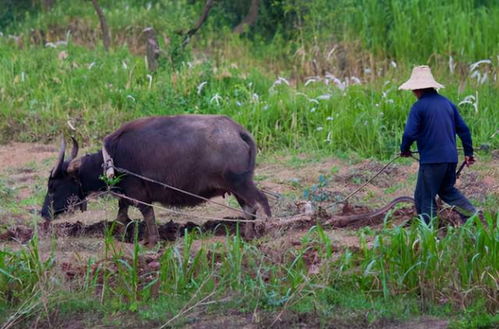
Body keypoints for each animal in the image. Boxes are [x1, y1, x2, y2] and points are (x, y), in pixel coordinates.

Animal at [40, 114, 272, 245]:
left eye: (53, 185)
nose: (43, 213)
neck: (112, 159)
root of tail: (239, 132)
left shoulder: (139, 193)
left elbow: (147, 214)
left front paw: (151, 241)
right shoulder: (125, 196)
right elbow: (122, 216)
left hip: (240, 183)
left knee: (259, 203)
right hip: (237, 187)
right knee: (249, 207)